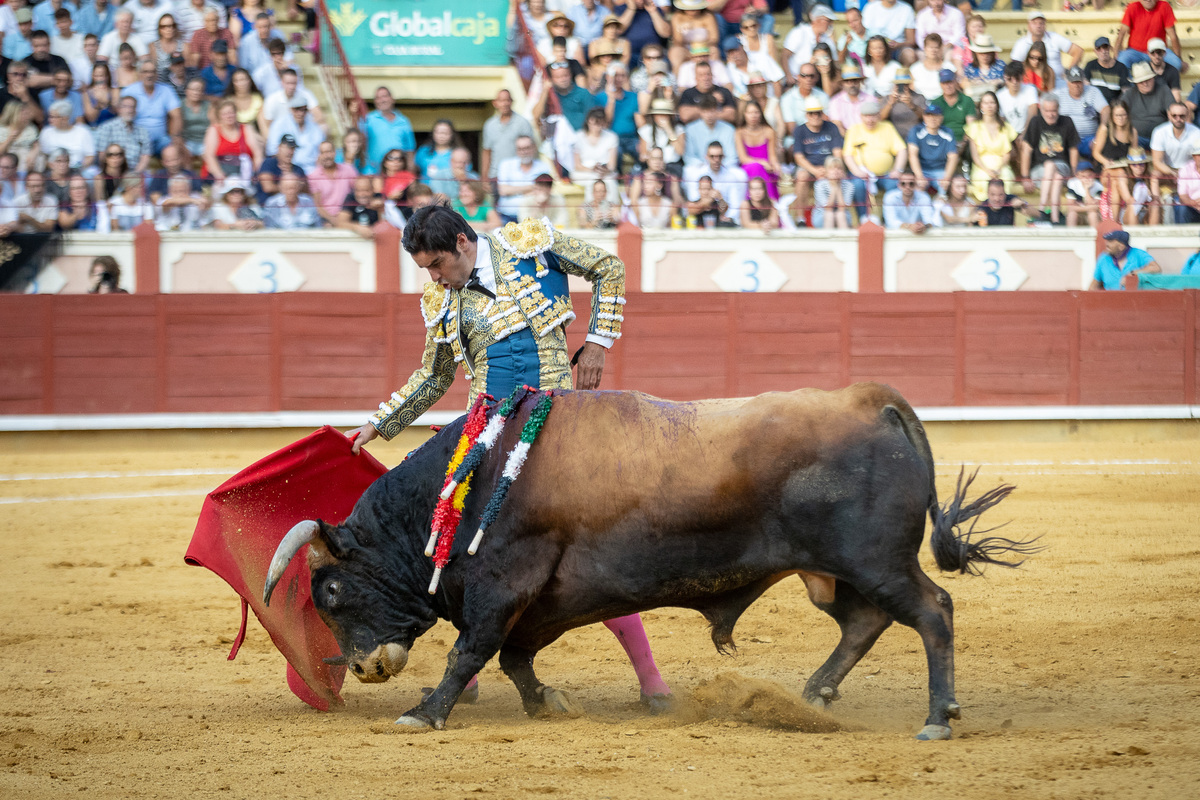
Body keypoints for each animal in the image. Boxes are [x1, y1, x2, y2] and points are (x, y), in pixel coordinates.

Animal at [262, 383, 1032, 743]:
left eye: (330, 590)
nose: (363, 667)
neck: (470, 487)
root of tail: (867, 398)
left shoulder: (504, 583)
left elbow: (470, 651)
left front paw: (424, 713)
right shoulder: (542, 601)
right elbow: (514, 657)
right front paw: (546, 702)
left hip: (873, 559)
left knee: (931, 611)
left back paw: (937, 716)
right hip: (831, 571)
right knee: (865, 621)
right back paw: (813, 695)